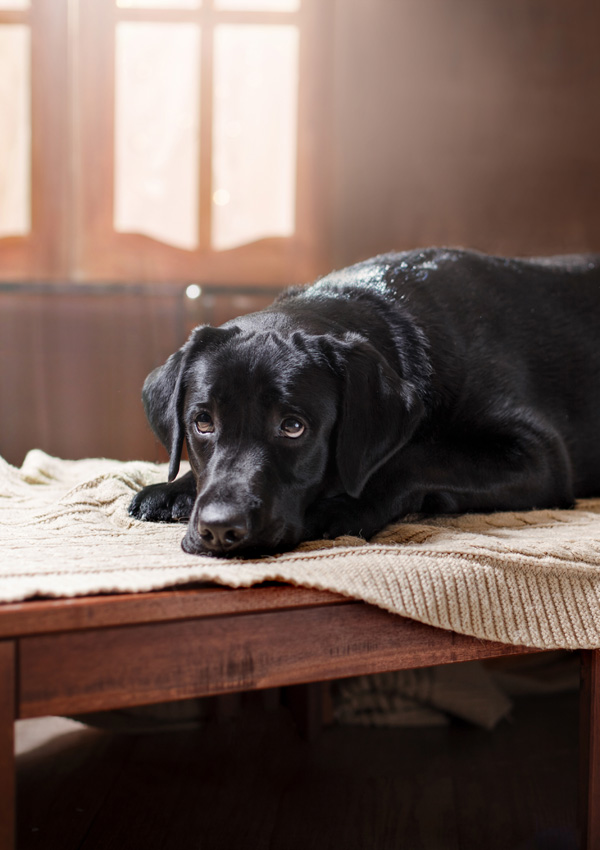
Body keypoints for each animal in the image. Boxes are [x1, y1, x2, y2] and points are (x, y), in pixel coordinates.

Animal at [127, 248, 600, 552]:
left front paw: (346, 506)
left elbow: (418, 458)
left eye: (293, 427)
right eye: (203, 422)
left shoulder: (539, 456)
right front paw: (172, 490)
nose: (219, 530)